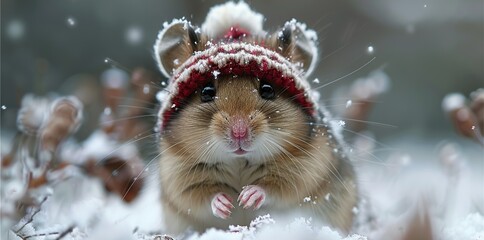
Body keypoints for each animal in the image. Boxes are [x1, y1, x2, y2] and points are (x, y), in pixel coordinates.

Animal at [153, 2, 358, 234]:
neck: (238, 161)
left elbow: (276, 187)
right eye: (206, 92)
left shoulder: (307, 168)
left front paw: (246, 197)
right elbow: (201, 196)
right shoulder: (178, 177)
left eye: (267, 89)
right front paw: (227, 204)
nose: (239, 133)